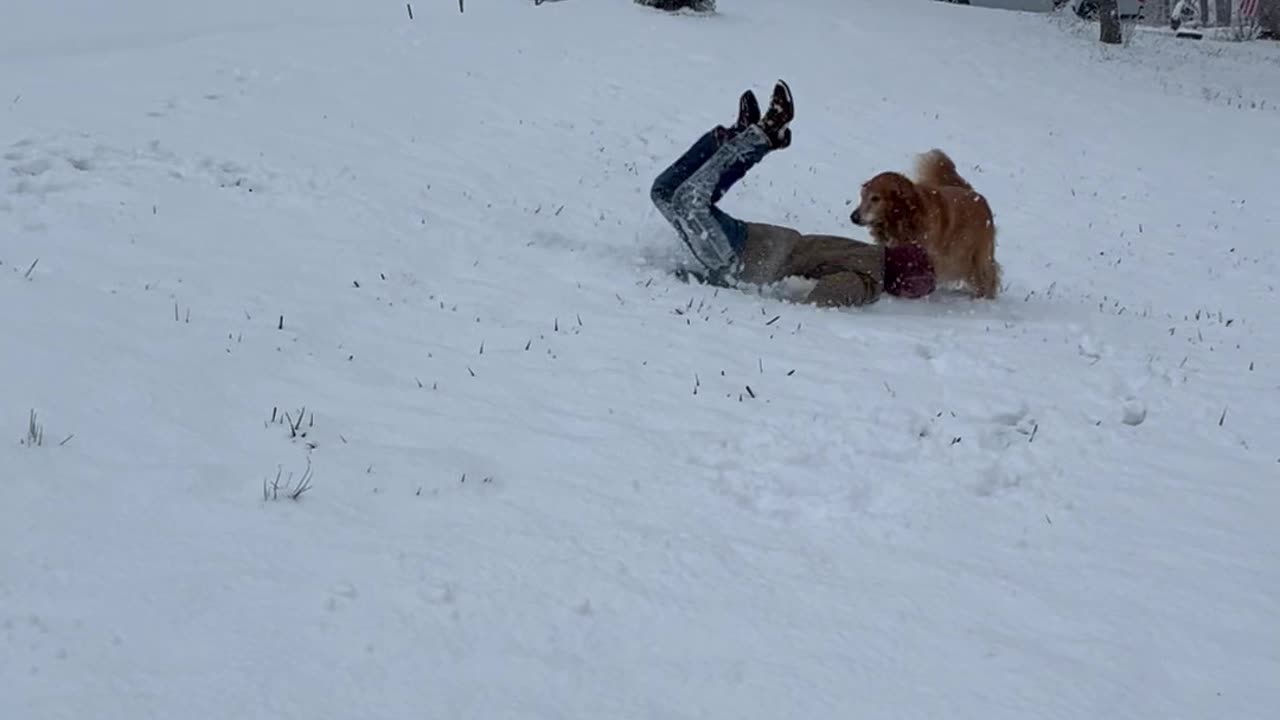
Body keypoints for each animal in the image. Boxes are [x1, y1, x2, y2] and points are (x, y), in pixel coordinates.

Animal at [855, 148, 1003, 297]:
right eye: (862, 197)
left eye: (875, 198)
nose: (853, 217)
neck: (907, 217)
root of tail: (975, 194)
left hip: (979, 258)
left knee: (989, 278)